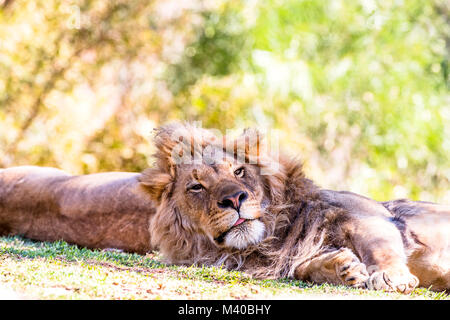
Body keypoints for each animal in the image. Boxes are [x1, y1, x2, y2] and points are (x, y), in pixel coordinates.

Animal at [0, 122, 448, 292]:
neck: (269, 237)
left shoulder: (365, 215)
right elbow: (305, 266)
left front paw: (389, 276)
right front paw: (340, 267)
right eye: (197, 186)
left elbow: (380, 245)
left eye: (239, 170)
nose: (234, 199)